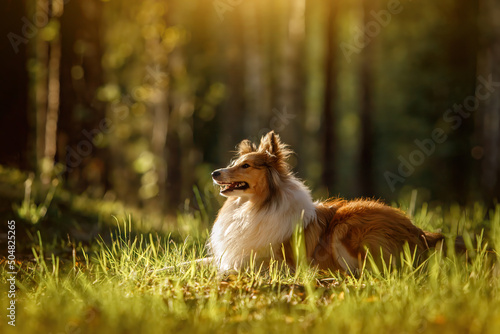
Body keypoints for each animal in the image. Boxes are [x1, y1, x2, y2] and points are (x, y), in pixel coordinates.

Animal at [206, 131, 460, 274]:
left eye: (246, 165)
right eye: (234, 163)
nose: (214, 173)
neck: (255, 207)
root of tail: (420, 233)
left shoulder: (275, 261)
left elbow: (232, 268)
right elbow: (203, 261)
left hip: (347, 224)